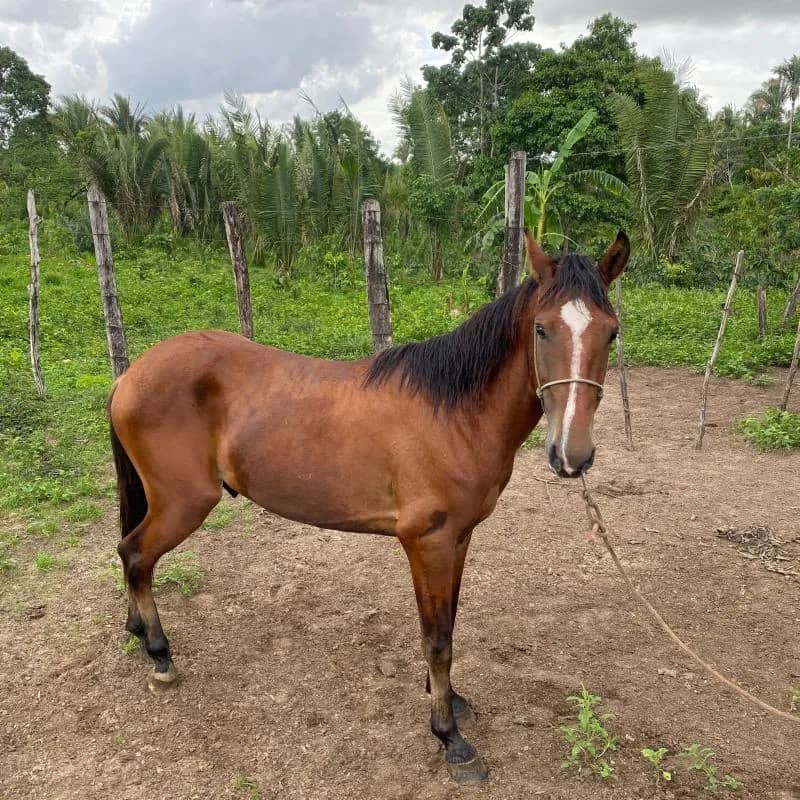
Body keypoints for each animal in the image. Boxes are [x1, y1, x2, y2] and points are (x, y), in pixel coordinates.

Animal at [108, 231, 630, 784]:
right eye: (542, 329)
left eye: (611, 333)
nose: (572, 456)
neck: (454, 414)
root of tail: (130, 375)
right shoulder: (427, 543)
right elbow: (437, 637)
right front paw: (450, 739)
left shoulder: (458, 539)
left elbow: (449, 621)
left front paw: (450, 700)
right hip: (184, 502)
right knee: (136, 555)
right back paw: (161, 656)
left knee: (131, 556)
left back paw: (138, 632)